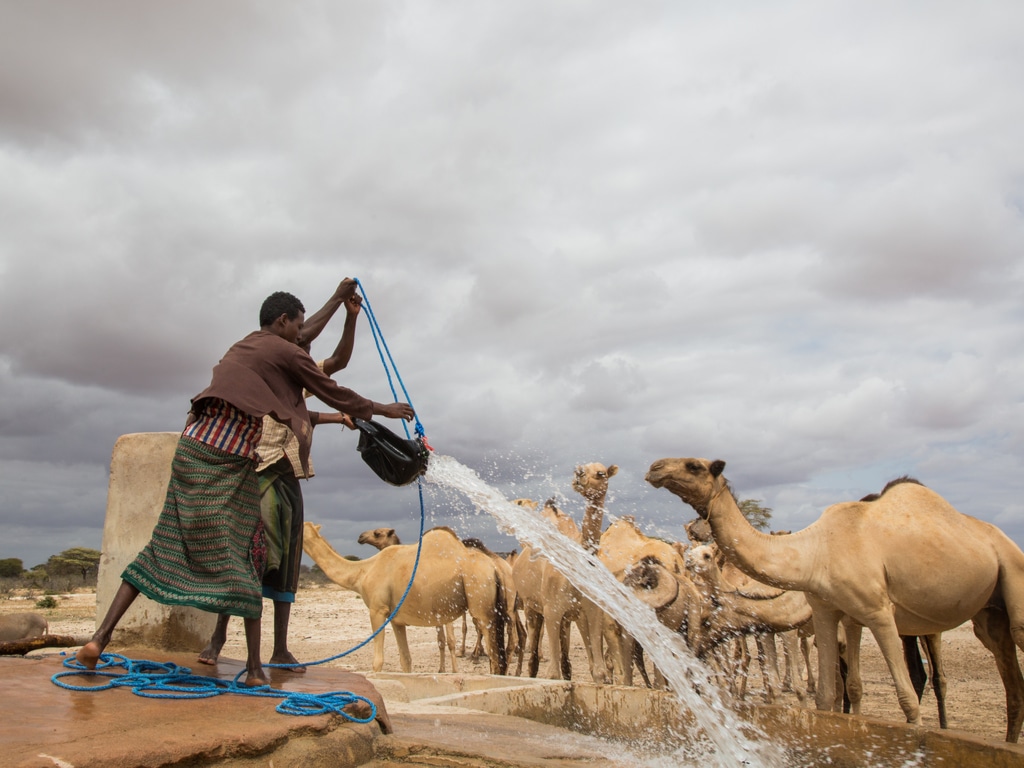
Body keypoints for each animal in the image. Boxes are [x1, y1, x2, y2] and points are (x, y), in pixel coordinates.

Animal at [307, 524, 507, 671]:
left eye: (378, 533)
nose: (360, 536)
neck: (362, 572)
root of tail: (495, 568)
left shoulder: (377, 610)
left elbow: (378, 662)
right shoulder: (397, 619)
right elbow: (407, 660)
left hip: (481, 605)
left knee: (494, 654)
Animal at [647, 456, 1024, 741]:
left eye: (694, 465)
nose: (654, 467)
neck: (814, 552)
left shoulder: (874, 612)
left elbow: (895, 695)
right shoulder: (832, 614)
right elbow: (836, 692)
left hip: (1008, 577)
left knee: (940, 675)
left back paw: (944, 728)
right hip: (988, 614)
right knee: (1011, 685)